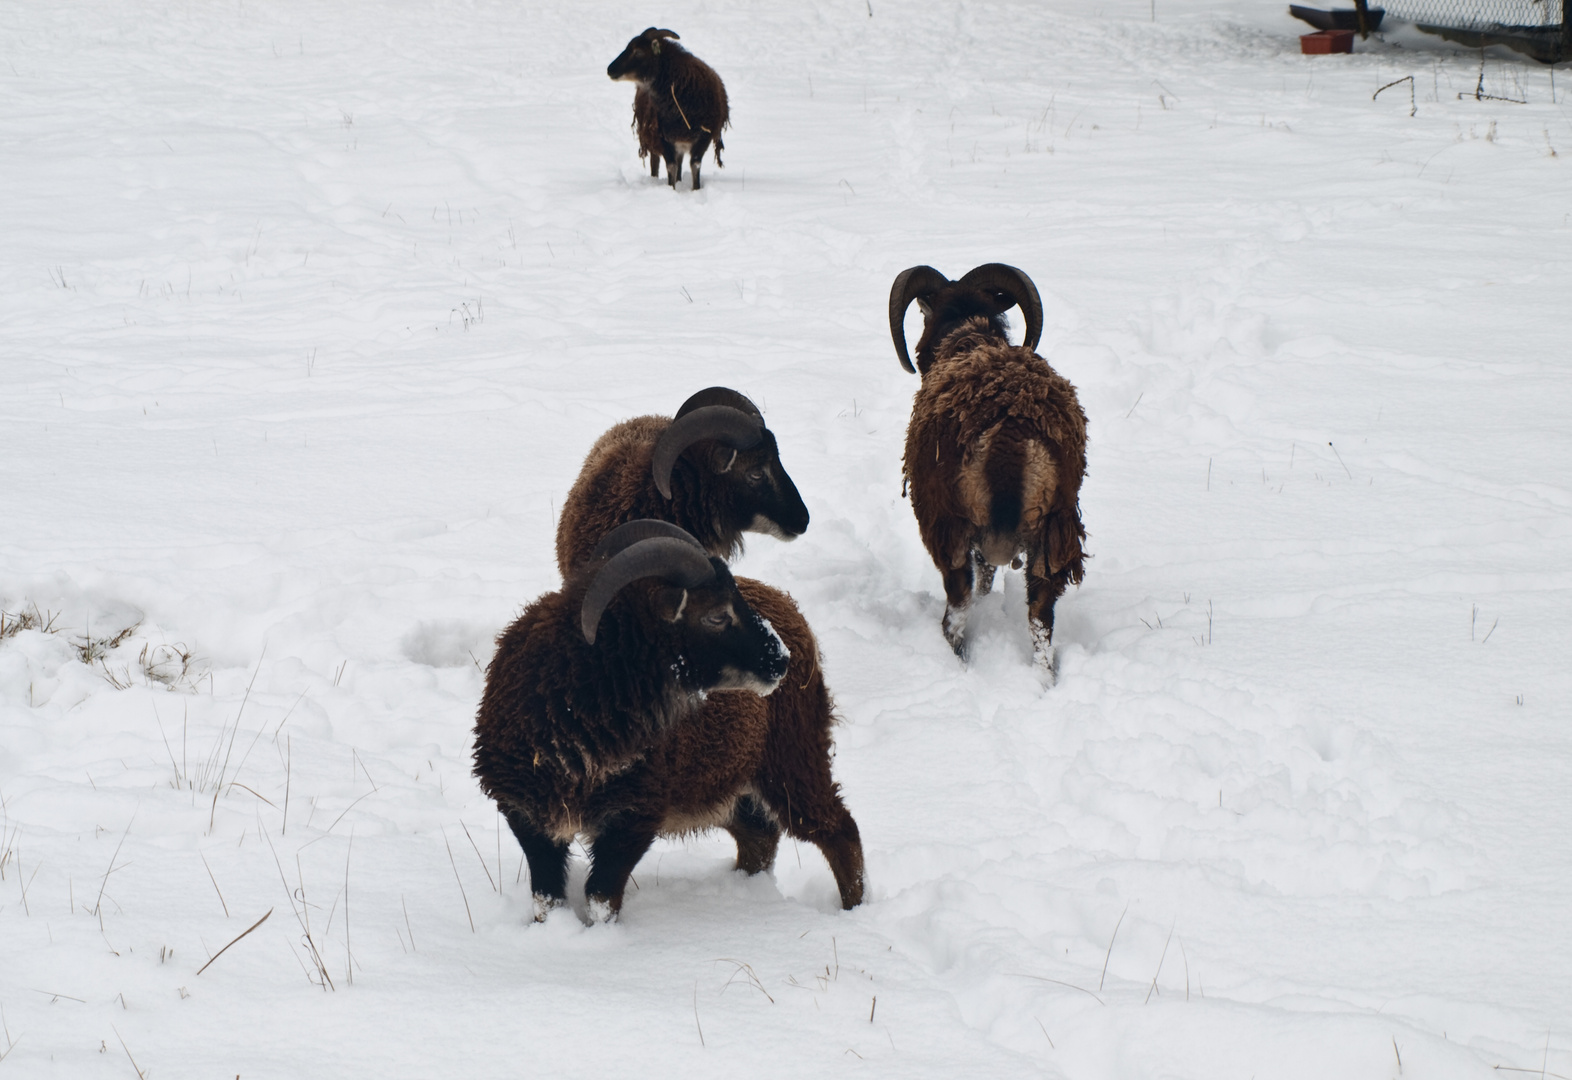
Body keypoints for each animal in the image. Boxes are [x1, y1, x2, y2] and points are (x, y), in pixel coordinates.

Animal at [471, 521, 867, 918]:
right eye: (716, 615)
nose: (779, 659)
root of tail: (790, 608)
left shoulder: (633, 818)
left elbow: (601, 899)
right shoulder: (529, 819)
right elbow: (547, 901)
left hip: (793, 759)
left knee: (839, 830)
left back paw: (853, 909)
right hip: (725, 781)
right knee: (760, 837)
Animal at [606, 26, 729, 192]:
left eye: (638, 52)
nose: (610, 69)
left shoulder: (704, 136)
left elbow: (695, 165)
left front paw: (695, 189)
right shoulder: (663, 137)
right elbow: (671, 166)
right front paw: (671, 190)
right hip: (651, 136)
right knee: (655, 162)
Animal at [892, 262, 1087, 672]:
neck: (970, 339)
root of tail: (1010, 437)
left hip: (949, 525)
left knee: (959, 605)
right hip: (1055, 530)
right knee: (1040, 617)